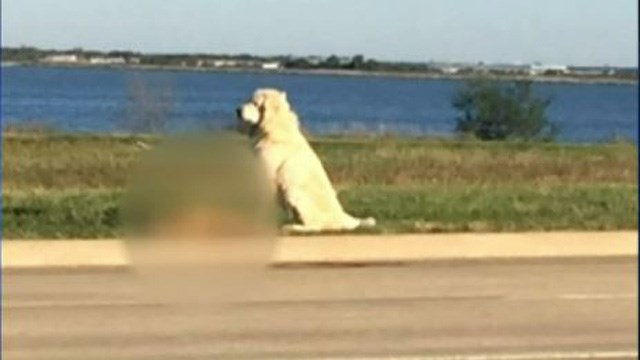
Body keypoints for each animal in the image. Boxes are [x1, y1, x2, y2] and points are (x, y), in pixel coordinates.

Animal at [235, 88, 376, 232]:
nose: (237, 110)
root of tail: (343, 217)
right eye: (248, 100)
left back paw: (292, 227)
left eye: (255, 103)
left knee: (315, 227)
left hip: (294, 191)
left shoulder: (269, 176)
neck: (273, 127)